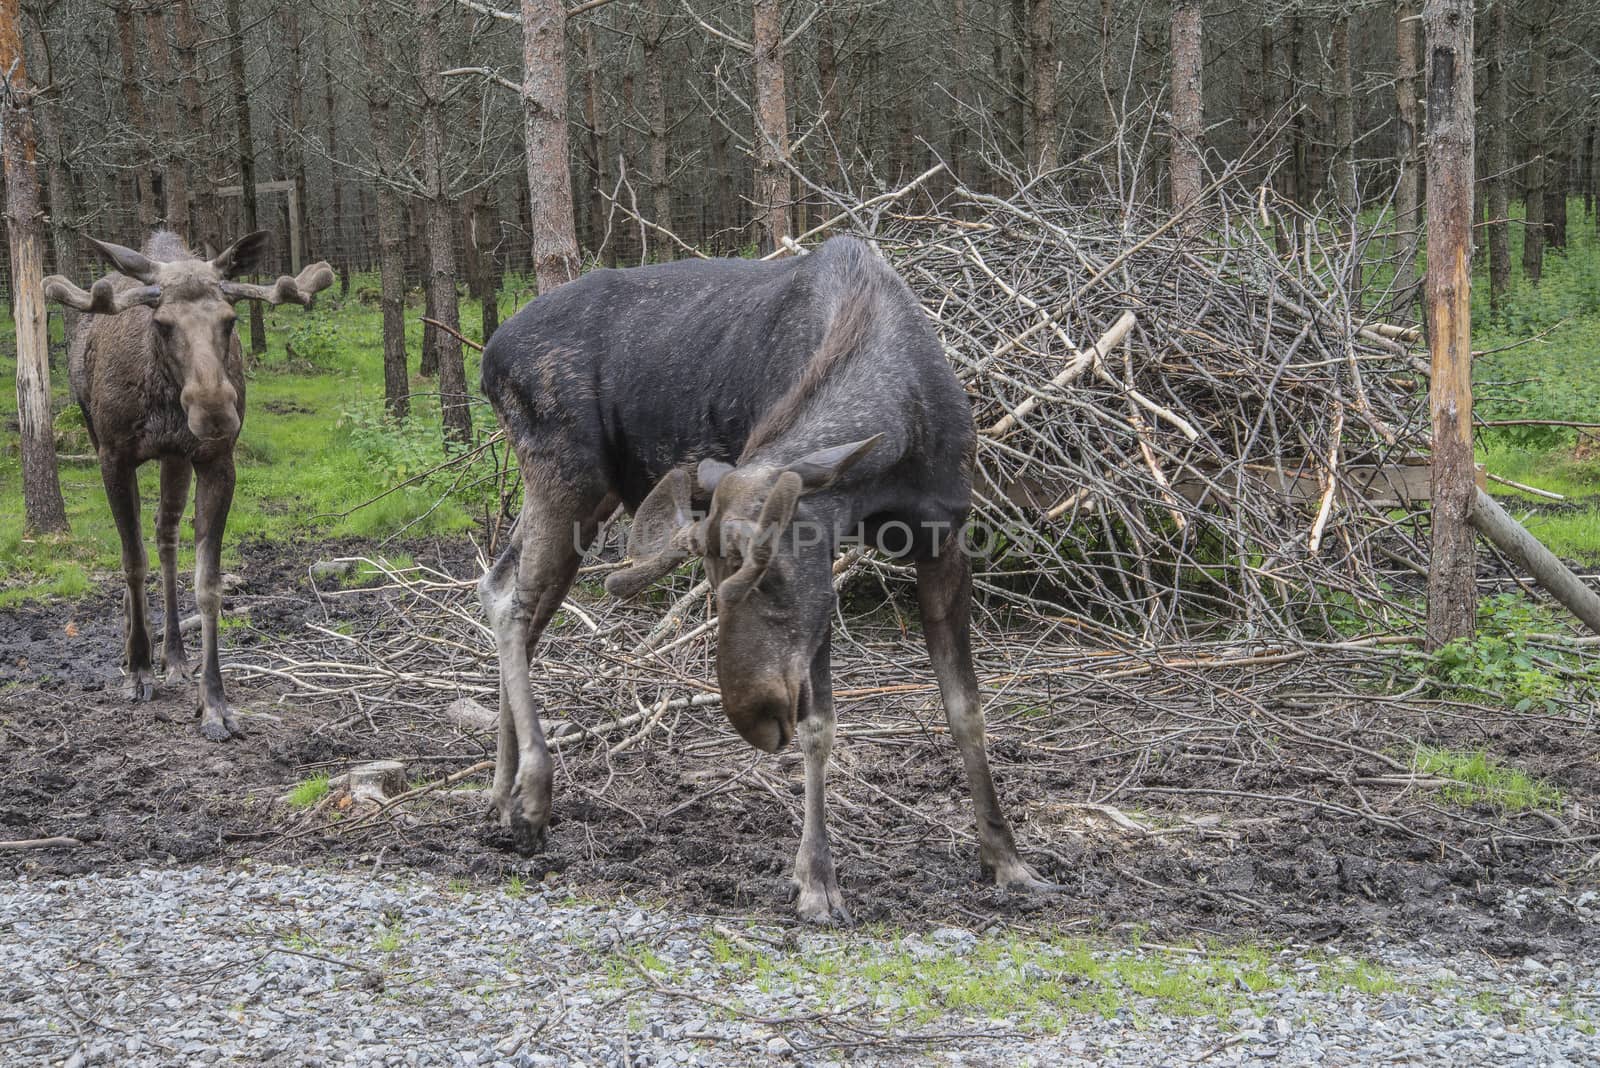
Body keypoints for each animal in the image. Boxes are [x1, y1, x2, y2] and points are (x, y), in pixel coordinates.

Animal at [45, 230, 331, 738]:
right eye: (162, 323)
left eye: (230, 320)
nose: (215, 410)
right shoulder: (113, 456)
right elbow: (131, 562)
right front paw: (139, 668)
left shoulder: (215, 460)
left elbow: (208, 584)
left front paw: (213, 701)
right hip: (101, 432)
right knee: (146, 545)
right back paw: (135, 649)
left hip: (175, 457)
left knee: (166, 534)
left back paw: (175, 655)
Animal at [473, 238, 1049, 920]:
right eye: (715, 579)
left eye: (769, 574)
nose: (753, 717)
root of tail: (488, 359)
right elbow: (821, 726)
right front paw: (817, 880)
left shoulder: (945, 539)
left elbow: (966, 709)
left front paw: (1006, 859)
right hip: (566, 478)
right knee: (512, 602)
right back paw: (531, 795)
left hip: (589, 493)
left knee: (506, 595)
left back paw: (502, 798)